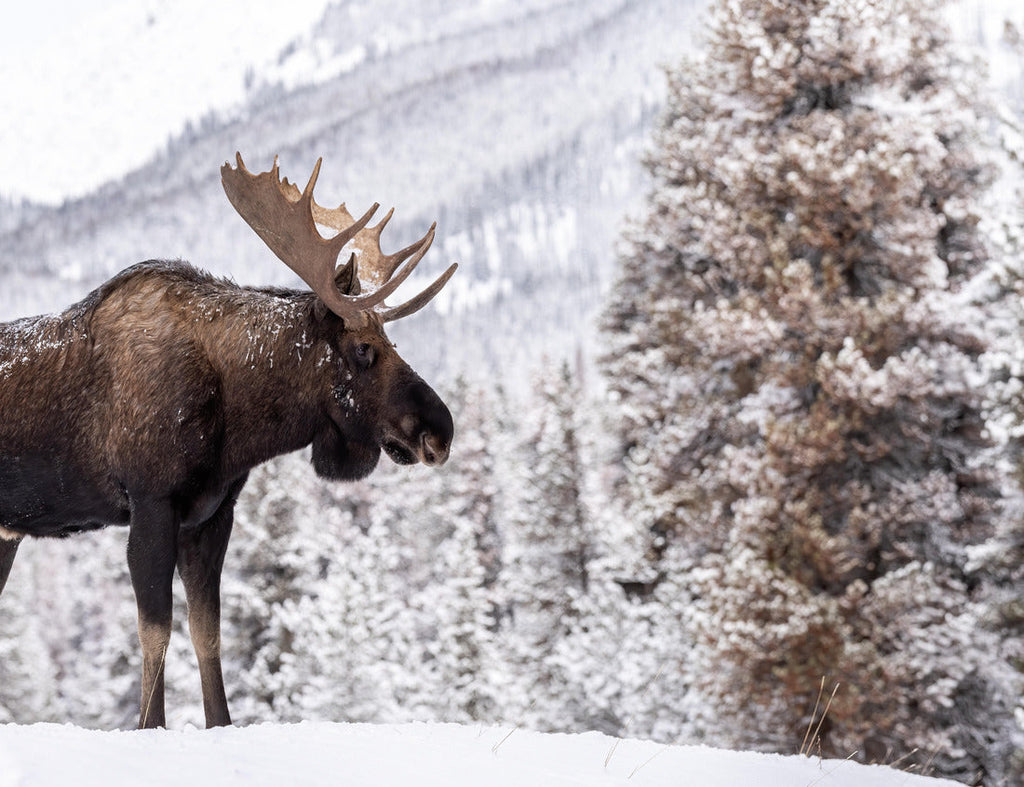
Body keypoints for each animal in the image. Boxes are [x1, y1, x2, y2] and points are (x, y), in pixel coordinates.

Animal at [0, 153, 457, 729]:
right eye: (363, 349)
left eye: (389, 341)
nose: (441, 430)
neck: (236, 420)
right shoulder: (152, 503)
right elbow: (156, 634)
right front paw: (151, 726)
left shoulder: (213, 514)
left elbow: (208, 634)